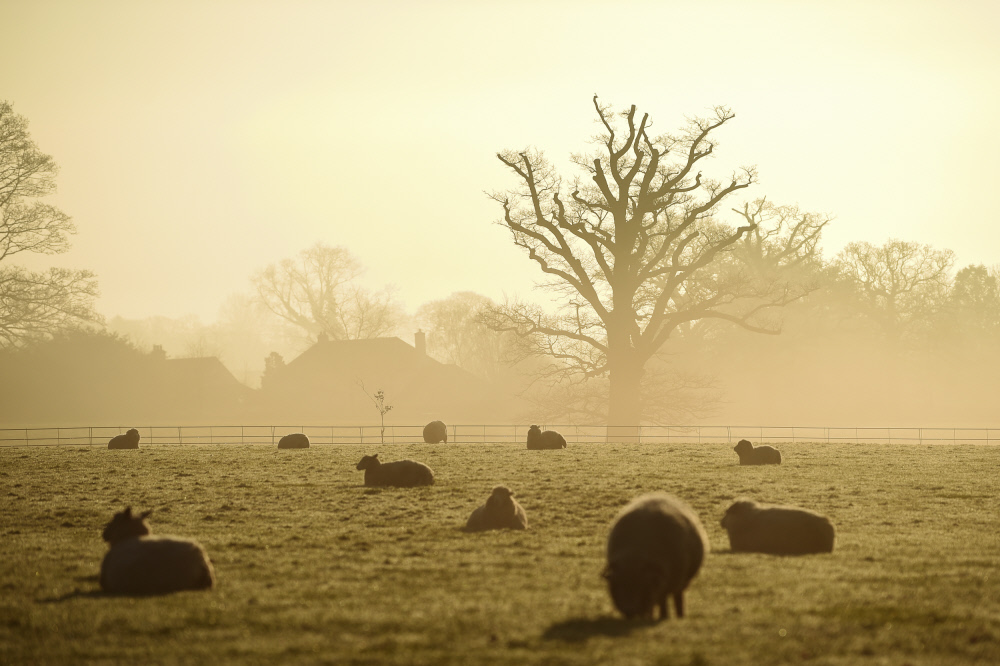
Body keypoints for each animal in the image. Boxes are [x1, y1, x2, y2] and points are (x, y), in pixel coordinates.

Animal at [604, 490, 708, 620]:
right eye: (618, 584)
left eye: (640, 585)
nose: (630, 610)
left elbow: (662, 601)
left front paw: (662, 617)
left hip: (679, 582)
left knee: (677, 598)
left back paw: (678, 616)